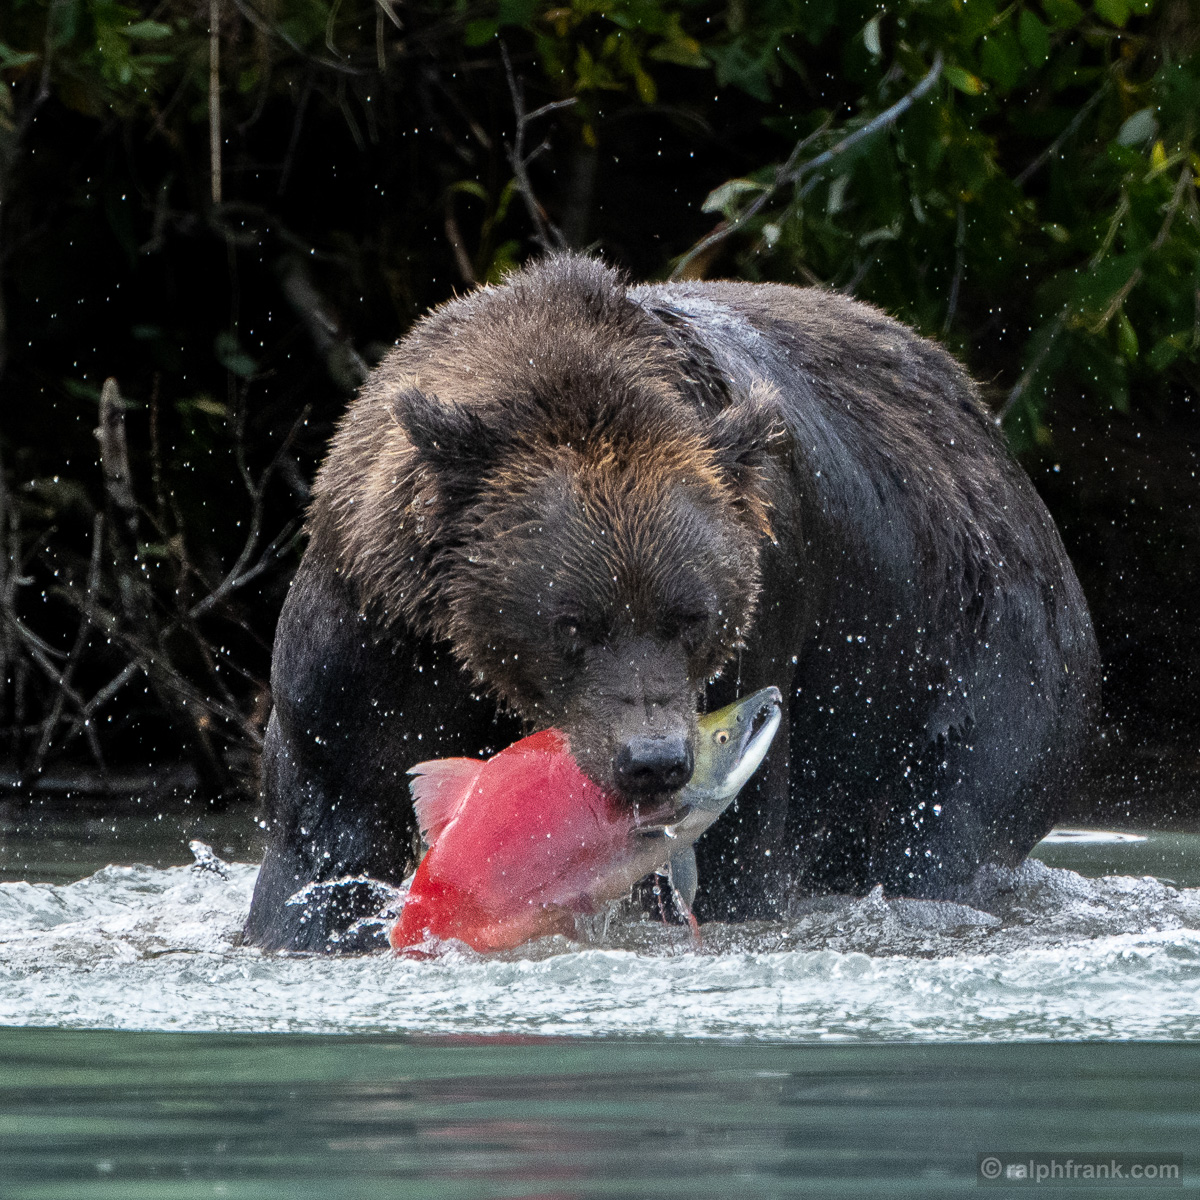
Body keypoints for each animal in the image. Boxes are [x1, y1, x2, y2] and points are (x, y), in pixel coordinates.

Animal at [243, 254, 1099, 952]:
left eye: (689, 616)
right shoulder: (375, 630)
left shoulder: (765, 607)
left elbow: (739, 848)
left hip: (981, 656)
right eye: (573, 623)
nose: (653, 760)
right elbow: (329, 826)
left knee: (946, 820)